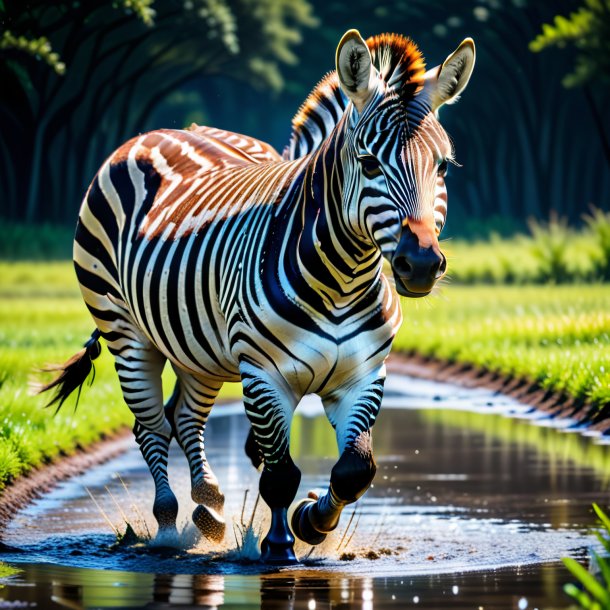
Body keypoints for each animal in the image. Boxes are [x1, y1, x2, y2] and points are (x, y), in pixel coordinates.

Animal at [40, 28, 472, 560]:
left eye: (443, 167)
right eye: (369, 163)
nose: (422, 264)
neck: (342, 281)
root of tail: (162, 132)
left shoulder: (363, 376)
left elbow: (355, 470)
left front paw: (313, 522)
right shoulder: (265, 376)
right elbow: (280, 473)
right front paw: (278, 546)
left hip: (196, 348)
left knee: (184, 418)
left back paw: (208, 508)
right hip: (126, 333)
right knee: (151, 426)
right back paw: (167, 525)